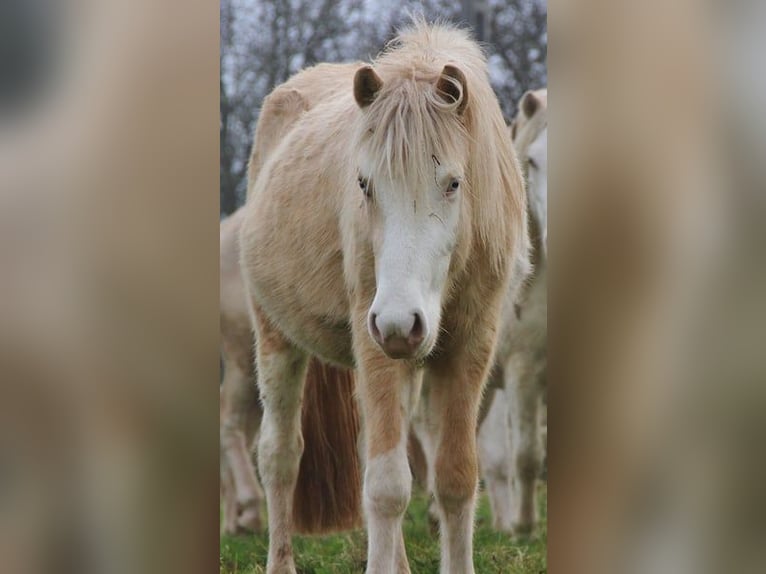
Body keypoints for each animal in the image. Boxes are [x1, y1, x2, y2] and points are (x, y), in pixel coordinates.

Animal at [243, 21, 532, 574]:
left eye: (454, 183)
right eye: (364, 184)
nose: (399, 322)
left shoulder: (471, 347)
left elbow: (456, 478)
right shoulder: (373, 340)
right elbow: (386, 487)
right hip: (278, 341)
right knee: (279, 456)